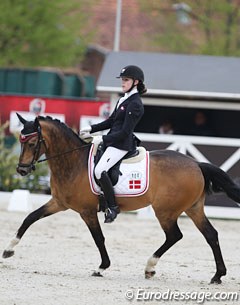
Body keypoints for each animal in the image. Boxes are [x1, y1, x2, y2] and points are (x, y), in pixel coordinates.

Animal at [2, 114, 240, 282]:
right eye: (21, 142)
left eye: (32, 143)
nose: (22, 170)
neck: (73, 162)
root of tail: (196, 164)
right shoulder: (58, 203)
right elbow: (29, 218)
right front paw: (8, 249)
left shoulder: (86, 211)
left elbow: (98, 238)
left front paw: (101, 267)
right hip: (193, 208)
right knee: (211, 235)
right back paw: (217, 275)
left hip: (166, 211)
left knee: (175, 236)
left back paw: (150, 267)